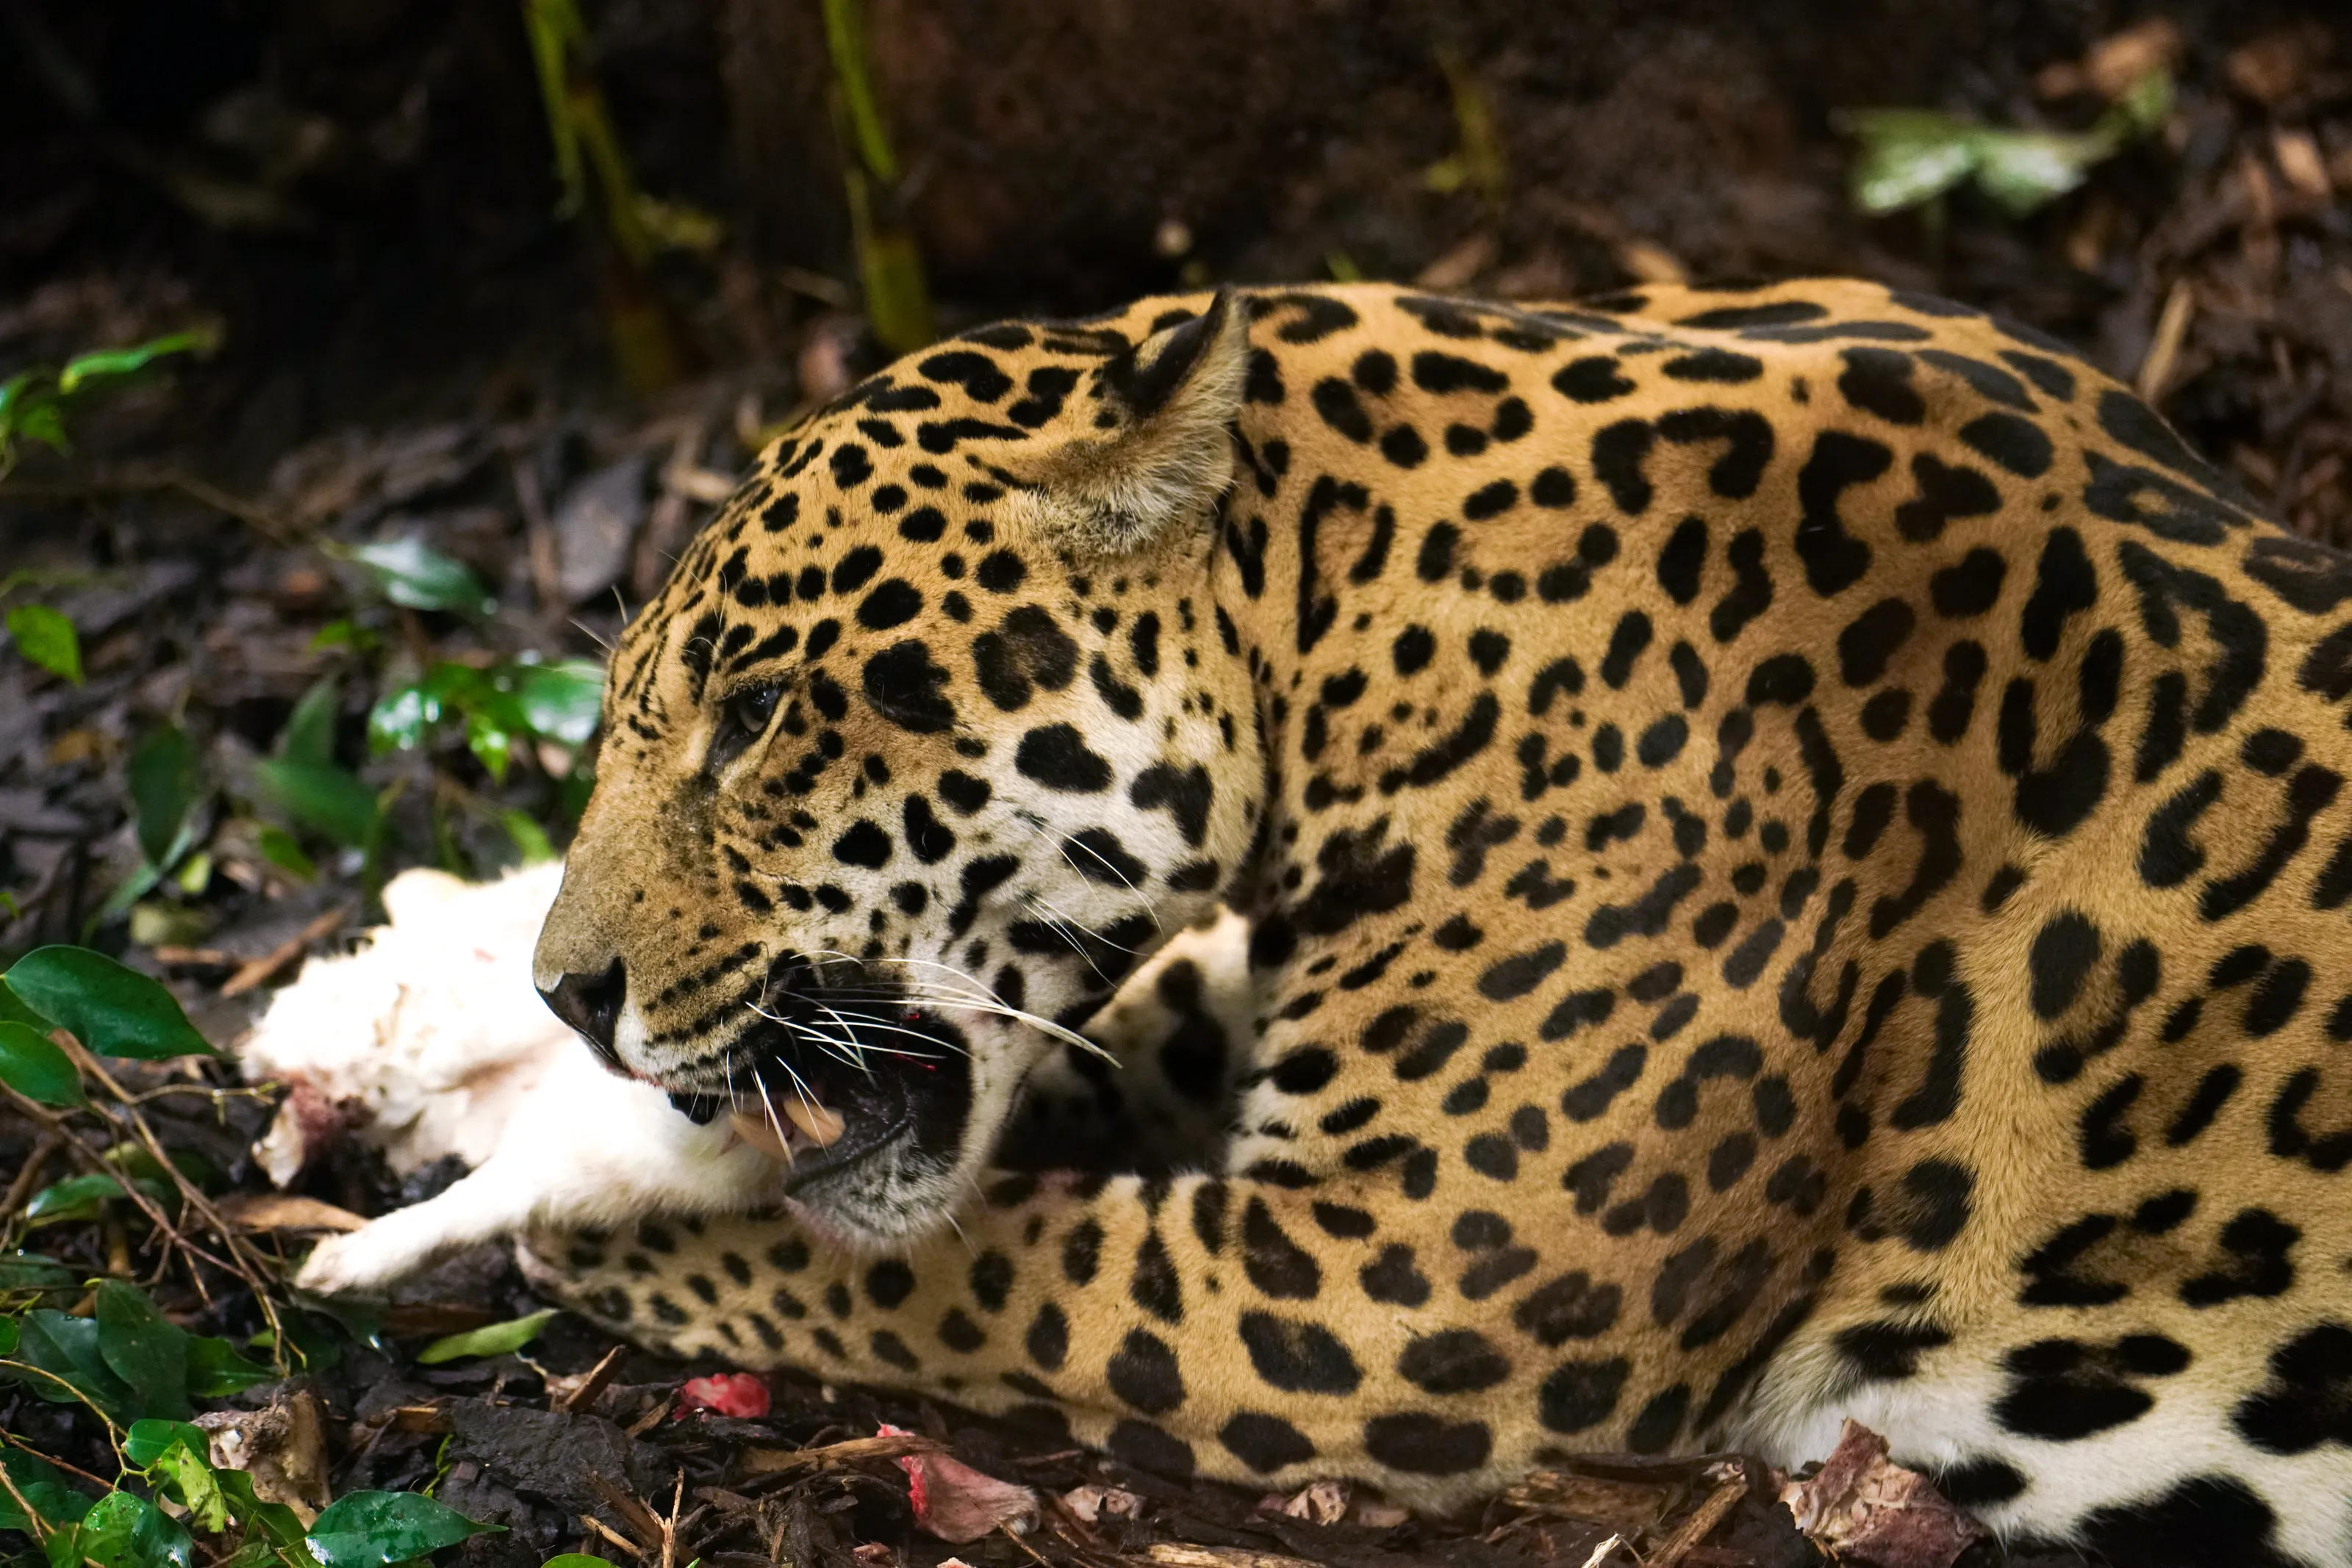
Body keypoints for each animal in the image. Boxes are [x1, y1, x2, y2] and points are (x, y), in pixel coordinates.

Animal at [506, 279, 2352, 1566]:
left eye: (756, 713)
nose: (562, 994)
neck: (1348, 612)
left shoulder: (1390, 1286)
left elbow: (986, 1269)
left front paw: (594, 1231)